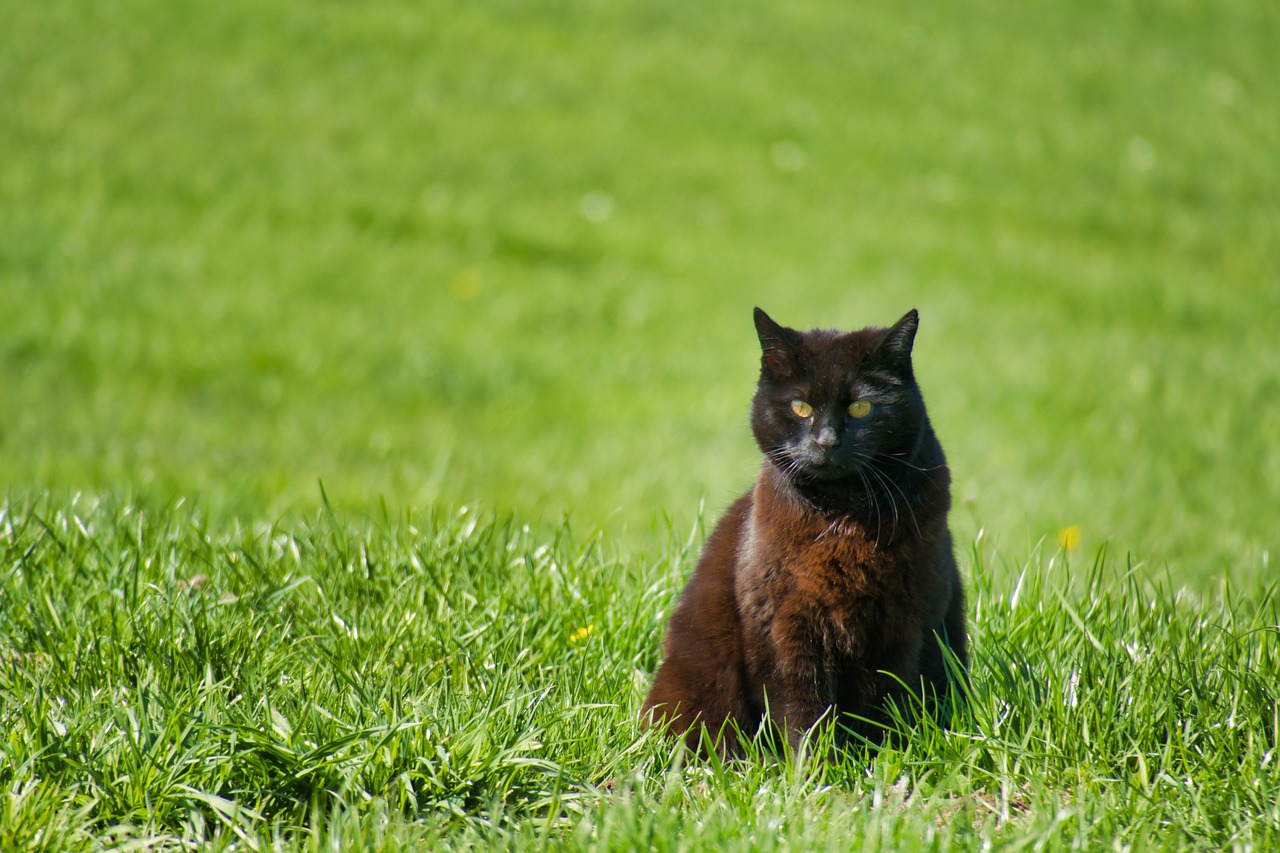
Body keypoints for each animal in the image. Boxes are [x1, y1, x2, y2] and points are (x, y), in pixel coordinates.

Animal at [645, 306, 962, 753]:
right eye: (800, 406)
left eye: (861, 408)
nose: (826, 442)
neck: (841, 516)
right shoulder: (785, 626)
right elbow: (800, 711)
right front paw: (810, 767)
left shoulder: (903, 623)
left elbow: (885, 703)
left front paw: (883, 759)